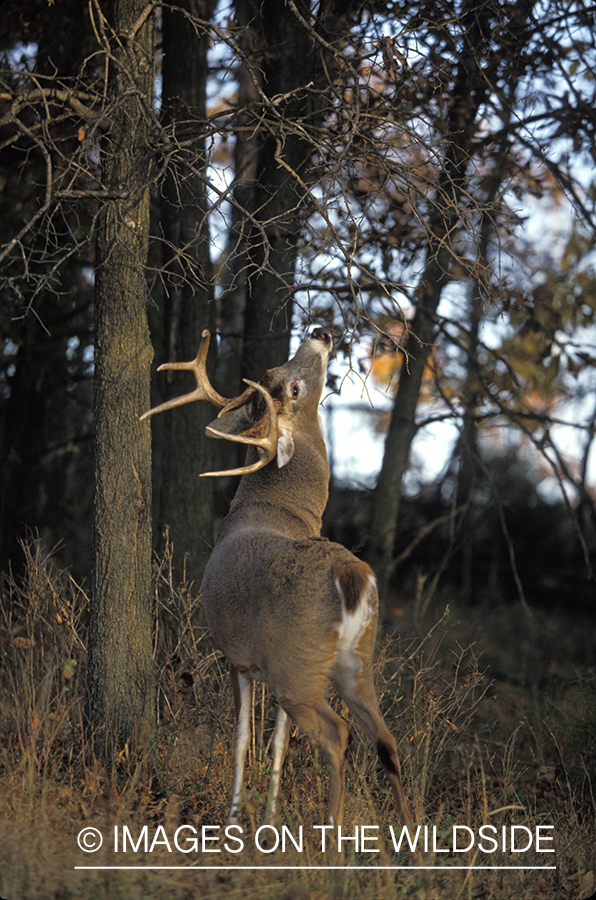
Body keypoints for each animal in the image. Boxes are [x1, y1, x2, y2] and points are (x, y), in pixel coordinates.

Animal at [141, 326, 412, 833]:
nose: (321, 331)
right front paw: (266, 816)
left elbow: (242, 739)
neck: (271, 507)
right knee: (386, 742)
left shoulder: (238, 655)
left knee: (338, 734)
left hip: (297, 663)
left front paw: (233, 819)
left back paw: (332, 838)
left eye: (292, 387)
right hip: (353, 660)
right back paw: (412, 838)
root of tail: (348, 572)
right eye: (283, 376)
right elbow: (277, 742)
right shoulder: (259, 661)